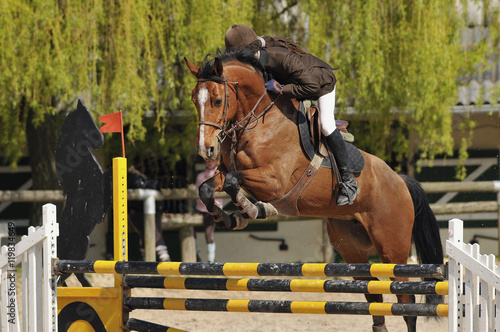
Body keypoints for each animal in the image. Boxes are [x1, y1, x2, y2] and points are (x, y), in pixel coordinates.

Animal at [184, 48, 442, 332]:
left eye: (217, 100)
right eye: (195, 100)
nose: (205, 150)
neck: (260, 121)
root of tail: (400, 181)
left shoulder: (274, 180)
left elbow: (233, 182)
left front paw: (252, 210)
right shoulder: (226, 173)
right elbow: (208, 188)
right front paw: (227, 218)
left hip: (392, 249)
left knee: (406, 303)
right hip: (352, 249)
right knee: (373, 294)